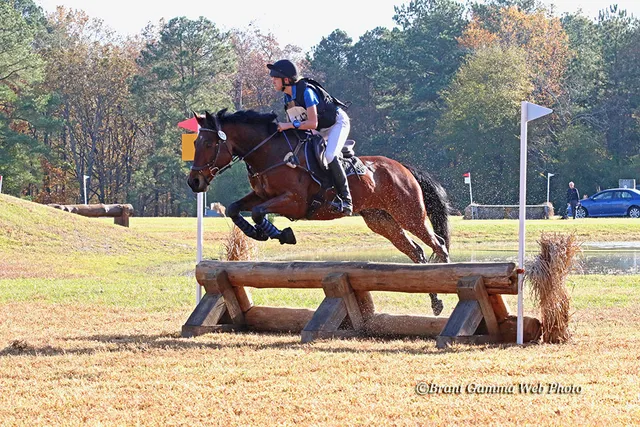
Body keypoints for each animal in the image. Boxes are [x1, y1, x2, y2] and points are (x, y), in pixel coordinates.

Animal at [187, 109, 451, 315]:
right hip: (381, 220)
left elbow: (259, 213)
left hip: (409, 214)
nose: (194, 182)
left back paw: (448, 281)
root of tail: (403, 167)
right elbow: (235, 209)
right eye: (195, 144)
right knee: (416, 251)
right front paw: (260, 233)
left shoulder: (294, 201)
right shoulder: (260, 196)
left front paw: (283, 234)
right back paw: (436, 301)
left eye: (209, 144)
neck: (270, 153)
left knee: (438, 244)